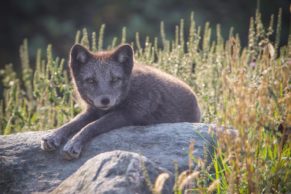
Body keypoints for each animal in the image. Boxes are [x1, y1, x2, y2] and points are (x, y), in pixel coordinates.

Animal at [40, 43, 201, 159]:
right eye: (91, 81)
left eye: (115, 79)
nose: (105, 100)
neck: (130, 88)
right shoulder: (92, 111)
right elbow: (72, 123)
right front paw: (53, 136)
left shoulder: (128, 114)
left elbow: (91, 126)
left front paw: (74, 143)